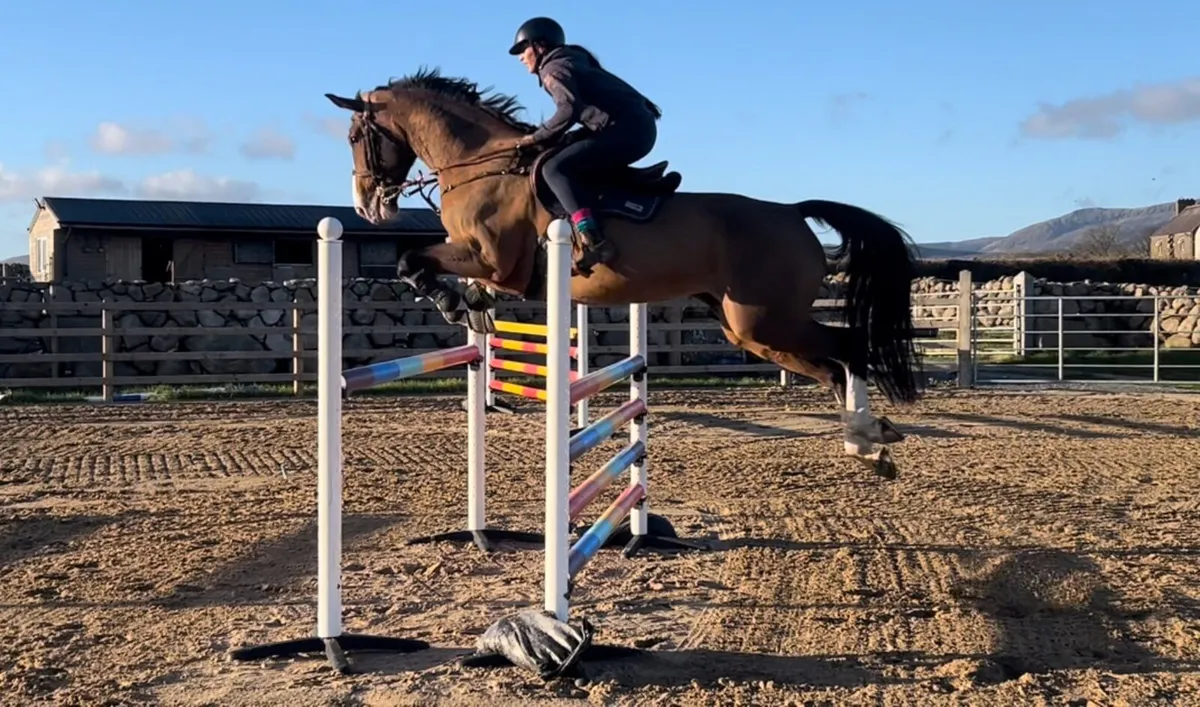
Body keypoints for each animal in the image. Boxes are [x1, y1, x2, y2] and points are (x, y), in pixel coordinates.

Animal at [323, 67, 924, 478]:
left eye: (355, 137)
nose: (366, 208)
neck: (484, 165)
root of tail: (793, 211)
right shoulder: (484, 263)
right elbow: (431, 270)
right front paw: (472, 308)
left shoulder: (497, 262)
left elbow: (411, 261)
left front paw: (452, 303)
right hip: (749, 329)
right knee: (832, 367)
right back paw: (867, 444)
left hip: (765, 319)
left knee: (848, 349)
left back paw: (868, 436)